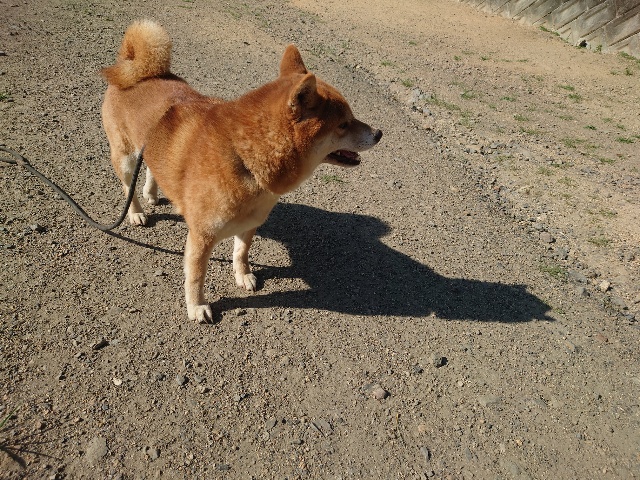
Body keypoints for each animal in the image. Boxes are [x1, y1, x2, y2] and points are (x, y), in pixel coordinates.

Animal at [101, 20, 382, 323]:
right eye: (343, 124)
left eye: (351, 118)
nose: (379, 133)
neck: (246, 161)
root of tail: (131, 66)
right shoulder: (202, 236)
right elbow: (196, 276)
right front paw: (197, 306)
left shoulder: (250, 223)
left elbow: (241, 252)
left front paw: (243, 275)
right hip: (125, 157)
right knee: (127, 186)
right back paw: (136, 212)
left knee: (153, 168)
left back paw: (153, 193)